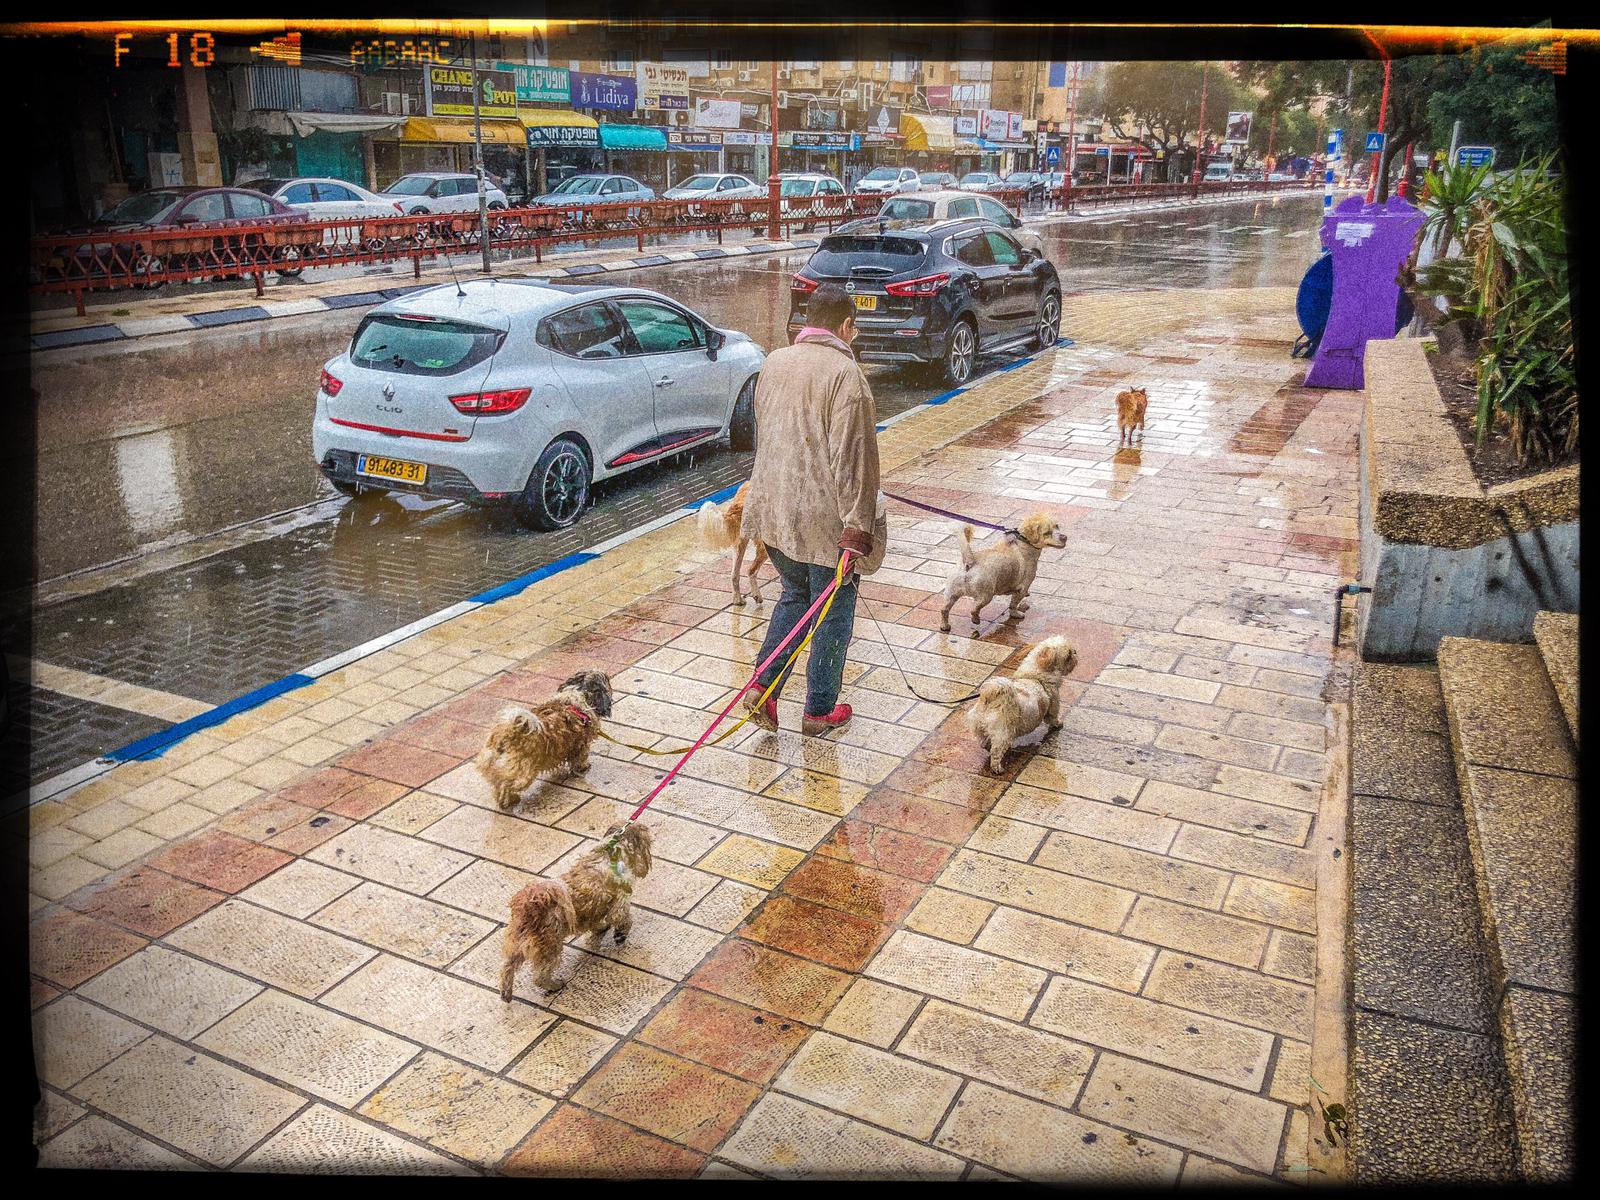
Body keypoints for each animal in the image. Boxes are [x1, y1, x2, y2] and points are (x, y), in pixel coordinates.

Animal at [473, 668, 611, 819]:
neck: (576, 694)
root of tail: (509, 733)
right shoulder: (581, 745)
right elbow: (580, 758)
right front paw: (583, 767)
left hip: (490, 760)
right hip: (523, 773)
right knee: (506, 783)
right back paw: (511, 799)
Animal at [496, 825, 652, 998]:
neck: (610, 852)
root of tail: (530, 906)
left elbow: (596, 922)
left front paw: (602, 929)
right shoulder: (620, 901)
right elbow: (623, 919)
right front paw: (620, 934)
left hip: (517, 942)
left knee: (507, 965)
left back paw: (506, 992)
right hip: (550, 946)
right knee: (540, 976)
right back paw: (554, 985)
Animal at [934, 512, 1075, 633]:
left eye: (1057, 526)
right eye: (1047, 533)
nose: (1064, 537)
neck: (1023, 540)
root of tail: (969, 562)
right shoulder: (1022, 588)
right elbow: (1013, 604)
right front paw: (1016, 614)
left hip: (951, 594)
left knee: (944, 609)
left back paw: (945, 626)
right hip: (986, 595)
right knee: (974, 609)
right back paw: (976, 620)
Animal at [966, 633, 1081, 774]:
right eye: (1068, 654)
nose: (1075, 652)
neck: (1035, 675)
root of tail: (992, 696)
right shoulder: (1053, 704)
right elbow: (1053, 717)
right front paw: (1058, 724)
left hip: (979, 726)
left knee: (983, 741)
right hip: (1003, 733)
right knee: (997, 752)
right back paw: (997, 768)